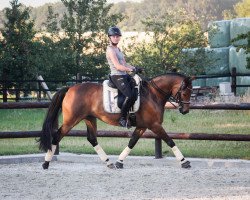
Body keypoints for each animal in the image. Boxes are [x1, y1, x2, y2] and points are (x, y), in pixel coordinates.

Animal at [39, 72, 193, 170]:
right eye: (185, 92)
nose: (185, 110)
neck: (153, 95)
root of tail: (70, 88)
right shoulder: (154, 125)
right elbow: (170, 141)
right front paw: (184, 162)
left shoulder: (142, 126)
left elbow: (132, 142)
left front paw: (119, 162)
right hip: (71, 120)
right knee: (57, 136)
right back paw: (46, 163)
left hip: (89, 118)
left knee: (92, 139)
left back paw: (109, 163)